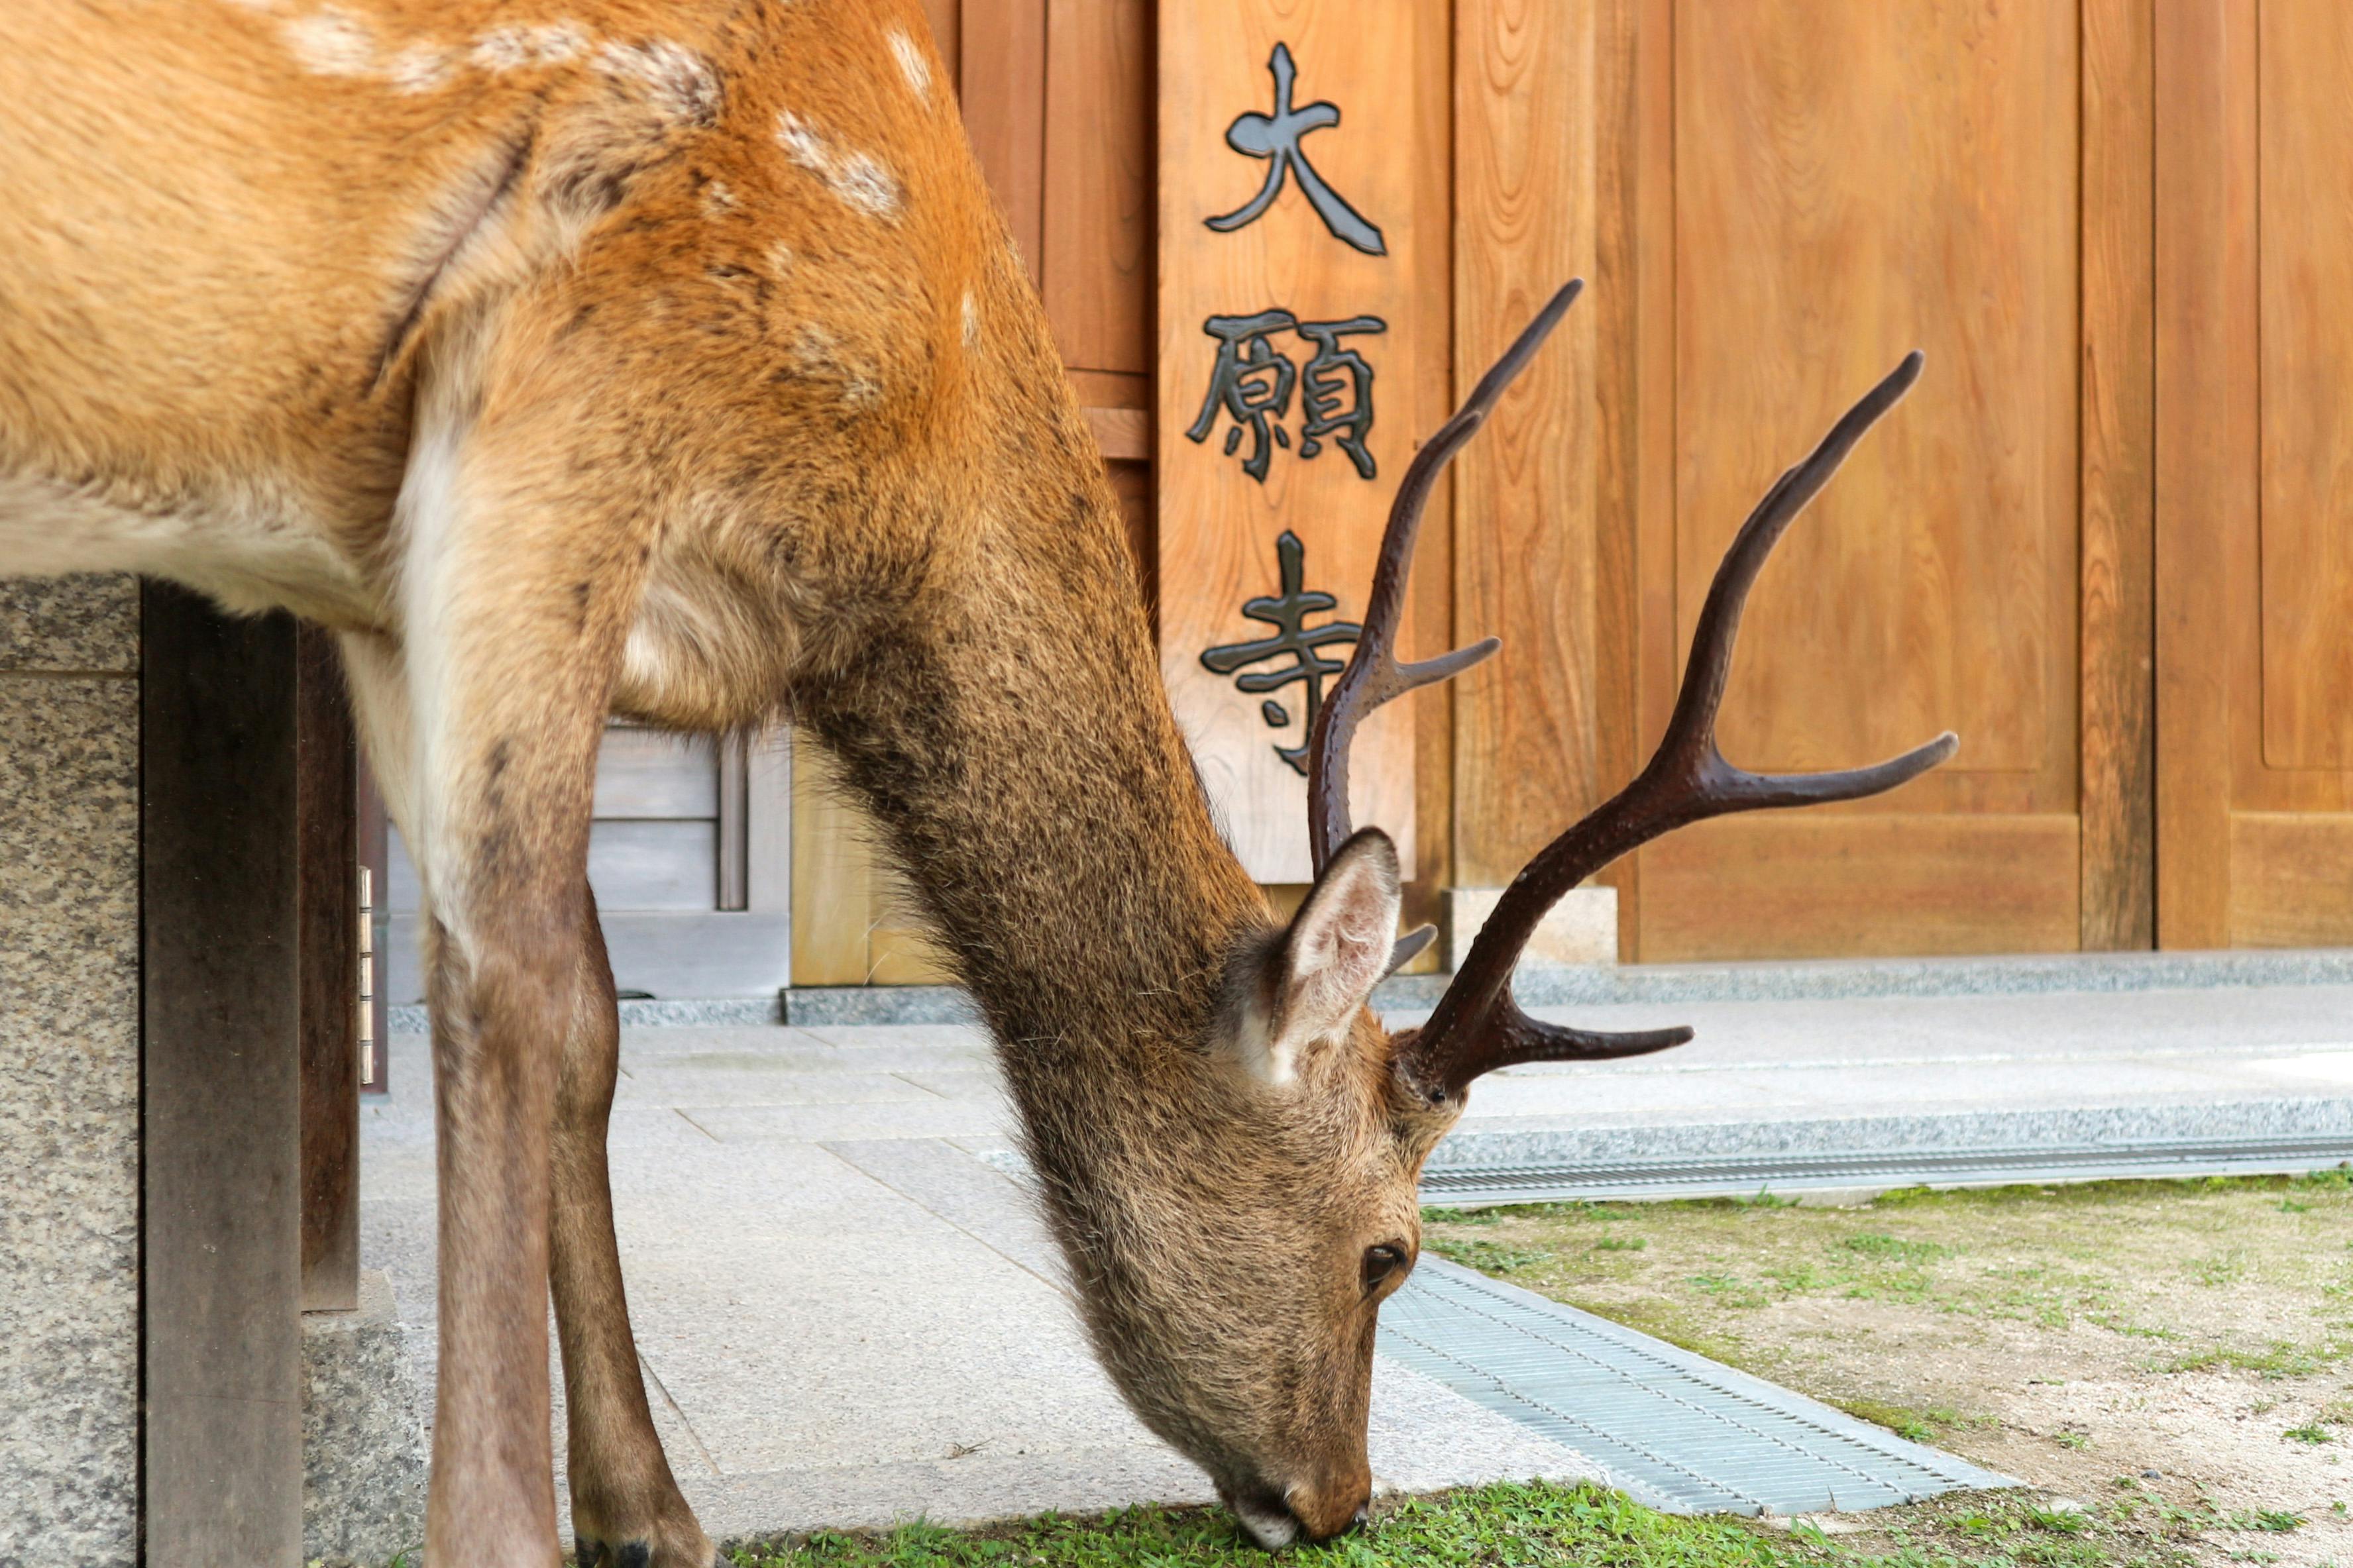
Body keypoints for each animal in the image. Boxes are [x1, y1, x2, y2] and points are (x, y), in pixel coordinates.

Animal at [0, 2, 1955, 1562]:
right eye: (1394, 1248)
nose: (1338, 1497)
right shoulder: (563, 373)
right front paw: (530, 1530)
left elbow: (593, 1025)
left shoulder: (355, 575)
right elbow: (523, 987)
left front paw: (655, 1512)